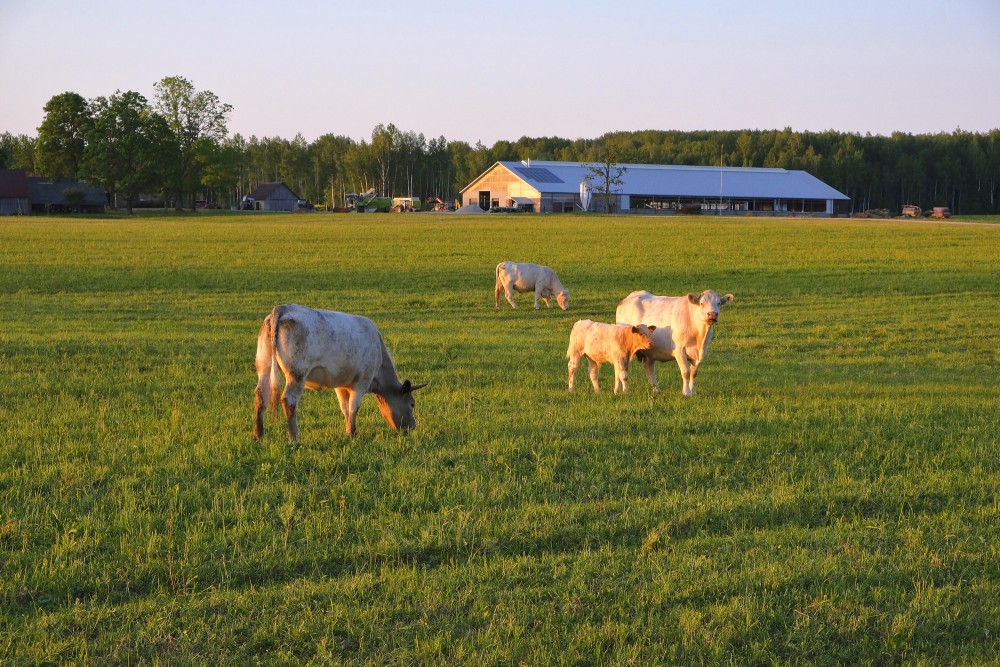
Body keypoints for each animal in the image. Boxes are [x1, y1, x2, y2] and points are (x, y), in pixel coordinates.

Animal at [254, 306, 426, 440]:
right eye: (412, 404)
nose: (412, 427)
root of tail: (283, 308)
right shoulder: (361, 382)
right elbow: (353, 407)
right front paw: (352, 433)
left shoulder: (341, 384)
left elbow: (345, 407)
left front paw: (347, 429)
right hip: (297, 374)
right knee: (289, 400)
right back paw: (295, 437)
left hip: (264, 366)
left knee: (261, 395)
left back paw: (258, 435)